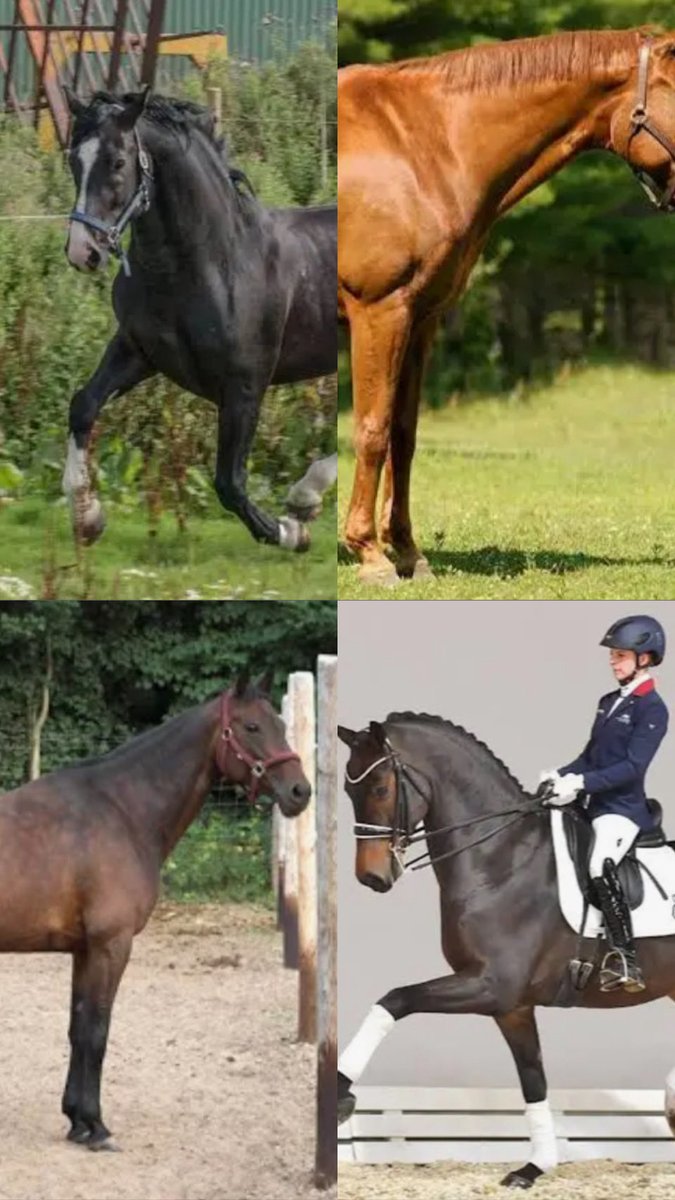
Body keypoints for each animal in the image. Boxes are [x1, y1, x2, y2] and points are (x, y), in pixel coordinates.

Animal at [0, 672, 310, 1150]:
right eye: (252, 727)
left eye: (280, 722)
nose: (300, 791)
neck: (121, 811)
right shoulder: (111, 945)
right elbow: (97, 1031)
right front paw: (95, 1126)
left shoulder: (84, 950)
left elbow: (77, 1027)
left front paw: (75, 1120)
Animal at [62, 88, 336, 552]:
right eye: (73, 160)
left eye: (117, 161)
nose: (83, 251)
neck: (212, 263)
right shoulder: (138, 351)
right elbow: (83, 405)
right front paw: (87, 518)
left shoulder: (245, 385)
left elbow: (229, 482)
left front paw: (289, 532)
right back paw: (307, 495)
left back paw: (304, 500)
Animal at [337, 714, 675, 1189]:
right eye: (349, 791)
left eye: (382, 789)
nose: (370, 876)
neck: (500, 860)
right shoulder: (511, 1006)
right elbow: (533, 1080)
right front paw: (535, 1167)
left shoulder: (490, 985)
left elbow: (395, 1000)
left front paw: (338, 1094)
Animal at [339, 28, 675, 584]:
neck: (424, 145)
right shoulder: (379, 311)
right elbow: (372, 429)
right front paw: (370, 554)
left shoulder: (421, 319)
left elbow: (404, 436)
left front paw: (408, 551)